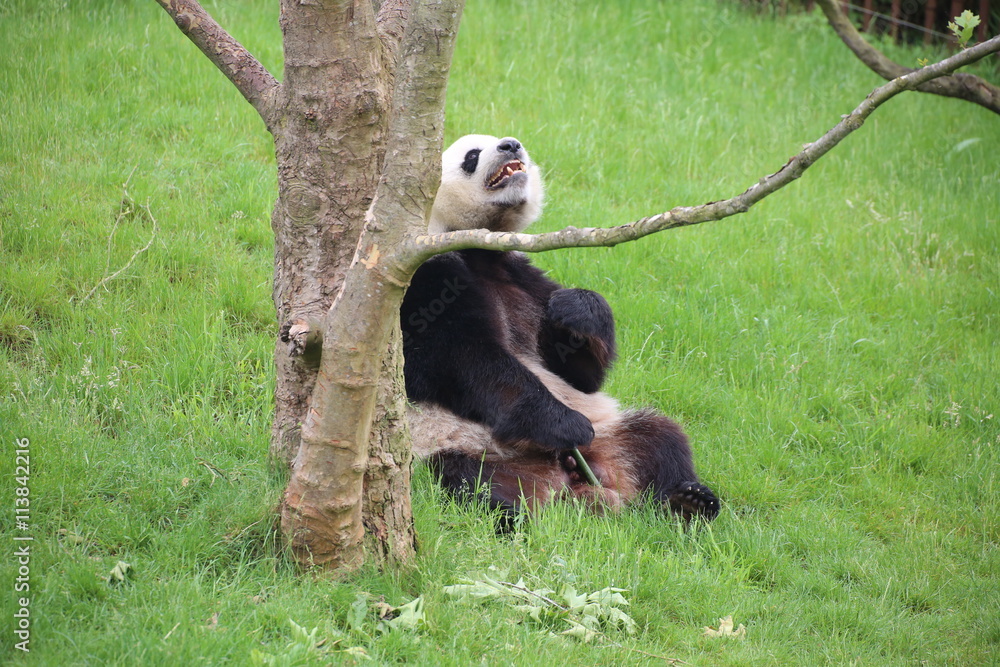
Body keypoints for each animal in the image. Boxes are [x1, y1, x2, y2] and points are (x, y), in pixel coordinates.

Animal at [402, 134, 719, 525]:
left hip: (611, 435)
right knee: (470, 485)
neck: (480, 247)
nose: (510, 145)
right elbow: (460, 358)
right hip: (454, 449)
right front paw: (563, 424)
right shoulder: (423, 272)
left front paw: (577, 309)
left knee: (660, 437)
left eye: (503, 142)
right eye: (472, 155)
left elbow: (580, 375)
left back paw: (688, 501)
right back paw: (514, 510)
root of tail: (567, 484)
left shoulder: (522, 277)